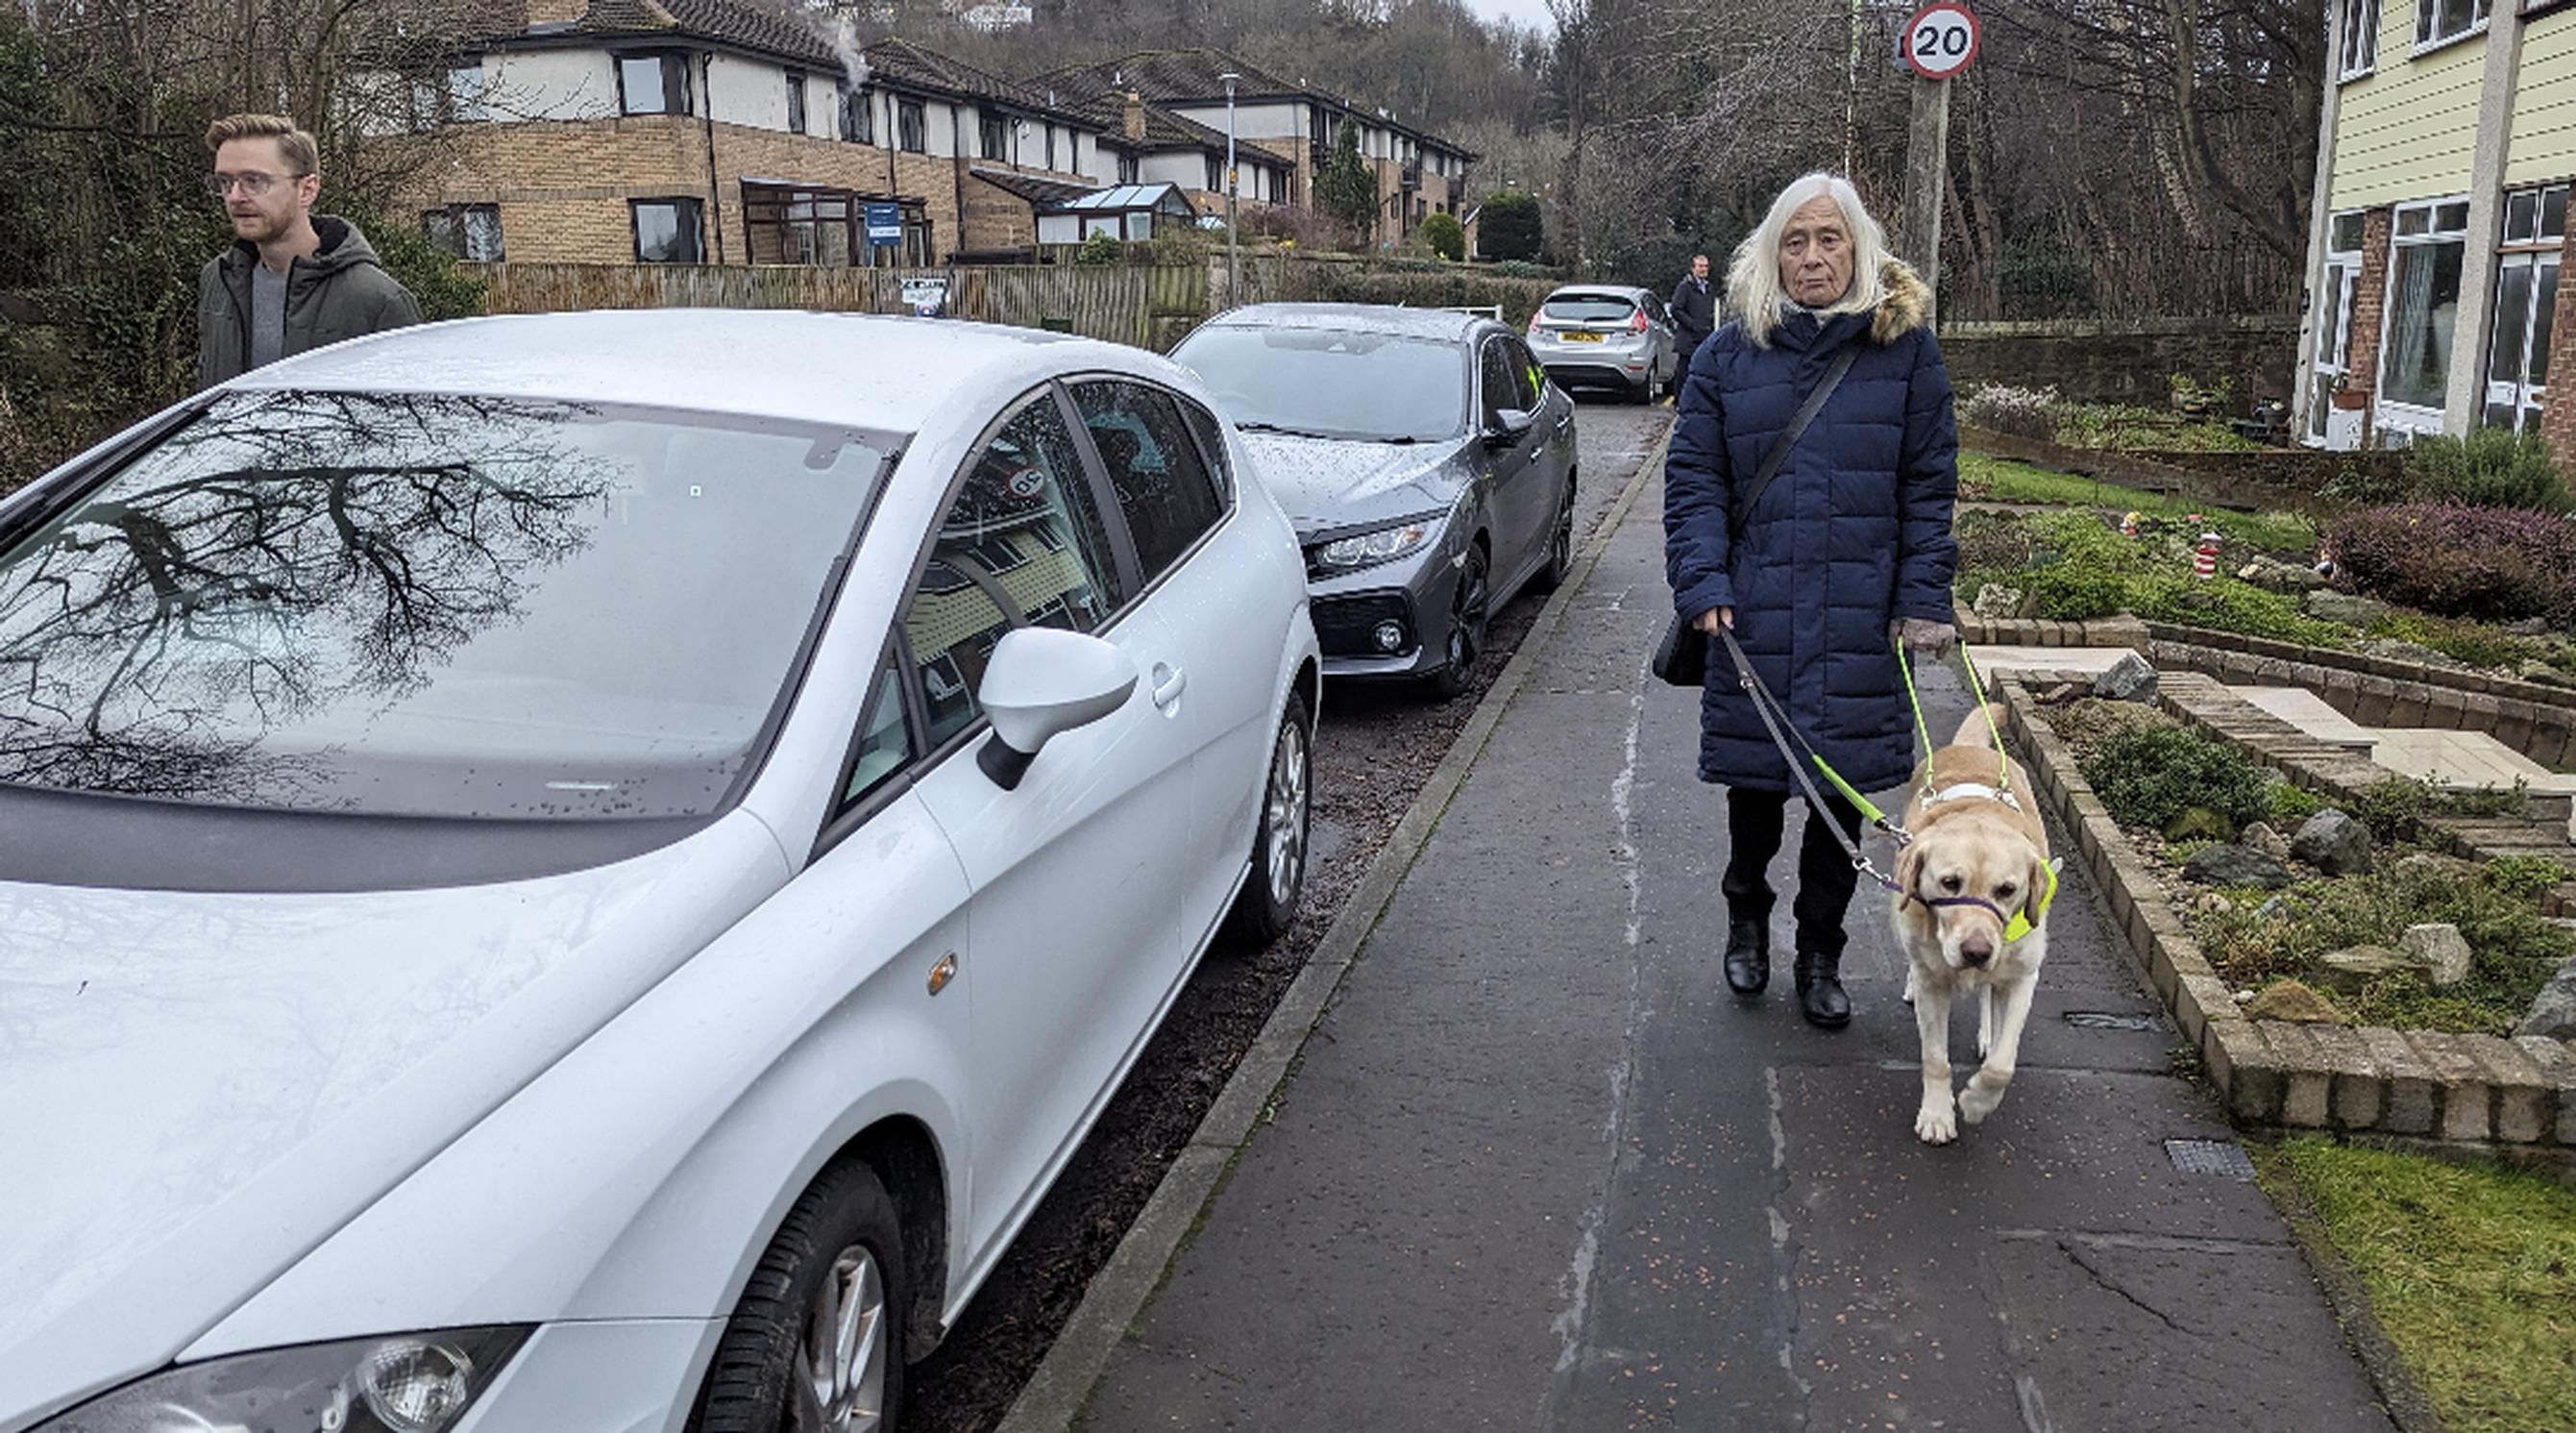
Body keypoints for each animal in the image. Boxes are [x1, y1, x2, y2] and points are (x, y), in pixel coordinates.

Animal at [1885, 711, 2060, 1149]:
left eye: (2007, 890)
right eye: (1950, 883)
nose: (1976, 952)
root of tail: (1970, 748)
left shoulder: (2022, 978)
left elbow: (2003, 1064)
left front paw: (1979, 1101)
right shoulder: (1934, 983)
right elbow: (1935, 1059)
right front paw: (1936, 1114)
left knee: (1987, 995)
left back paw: (1986, 1033)